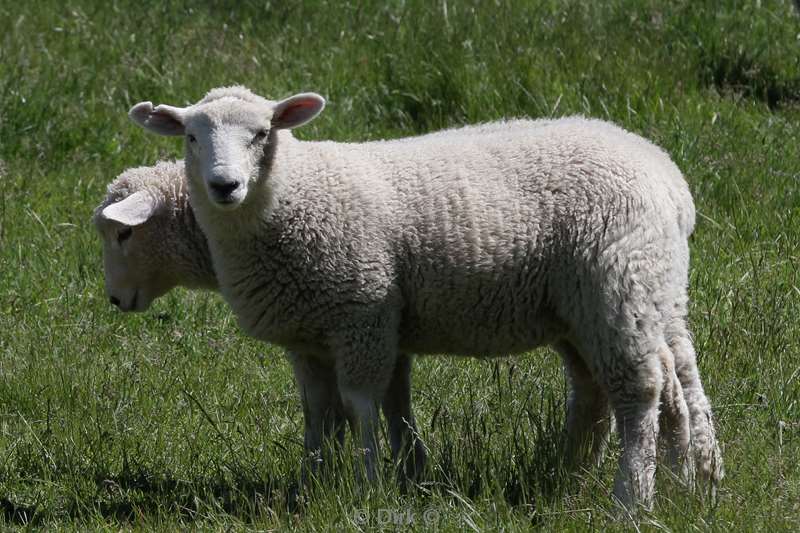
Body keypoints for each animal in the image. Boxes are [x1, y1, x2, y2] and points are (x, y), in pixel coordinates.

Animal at [128, 86, 720, 508]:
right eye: (191, 138)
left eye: (260, 133)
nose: (224, 186)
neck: (297, 196)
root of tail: (669, 180)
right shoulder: (350, 325)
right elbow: (338, 410)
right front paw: (326, 486)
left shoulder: (362, 309)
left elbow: (360, 405)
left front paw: (367, 489)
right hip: (633, 295)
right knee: (669, 377)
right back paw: (683, 479)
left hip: (614, 287)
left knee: (641, 389)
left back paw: (633, 498)